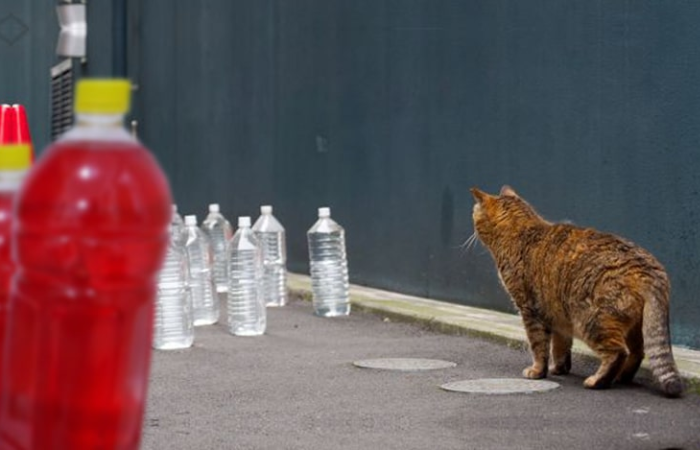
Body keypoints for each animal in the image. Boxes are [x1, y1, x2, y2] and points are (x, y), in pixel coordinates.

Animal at [470, 184, 684, 398]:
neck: (521, 231)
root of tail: (647, 268)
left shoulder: (530, 310)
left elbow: (539, 346)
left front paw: (538, 371)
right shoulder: (556, 315)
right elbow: (560, 347)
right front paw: (559, 369)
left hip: (591, 320)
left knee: (618, 352)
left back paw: (598, 380)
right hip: (634, 325)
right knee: (638, 352)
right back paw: (621, 377)